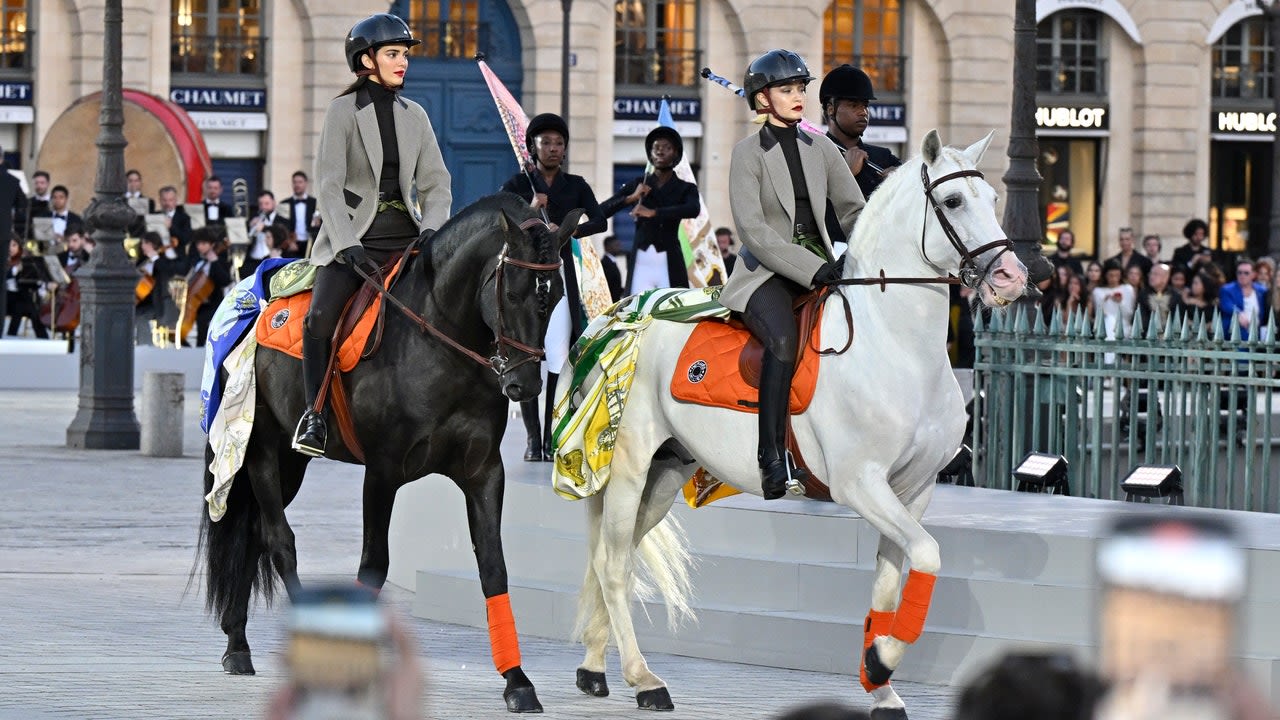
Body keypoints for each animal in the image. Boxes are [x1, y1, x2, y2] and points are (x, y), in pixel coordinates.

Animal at [197, 192, 583, 712]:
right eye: (513, 293)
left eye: (556, 295)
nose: (525, 385)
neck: (443, 344)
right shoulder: (381, 472)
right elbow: (373, 566)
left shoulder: (485, 471)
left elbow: (493, 568)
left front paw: (517, 681)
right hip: (259, 450)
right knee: (278, 540)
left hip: (289, 461)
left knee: (255, 535)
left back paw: (238, 644)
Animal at [565, 127, 1024, 712]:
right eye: (953, 201)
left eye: (994, 198)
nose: (1013, 277)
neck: (895, 345)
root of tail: (614, 319)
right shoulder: (860, 484)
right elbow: (928, 553)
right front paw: (882, 662)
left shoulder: (914, 489)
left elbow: (891, 585)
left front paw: (880, 681)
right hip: (629, 464)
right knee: (614, 565)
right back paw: (643, 678)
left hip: (665, 472)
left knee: (613, 559)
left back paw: (593, 667)